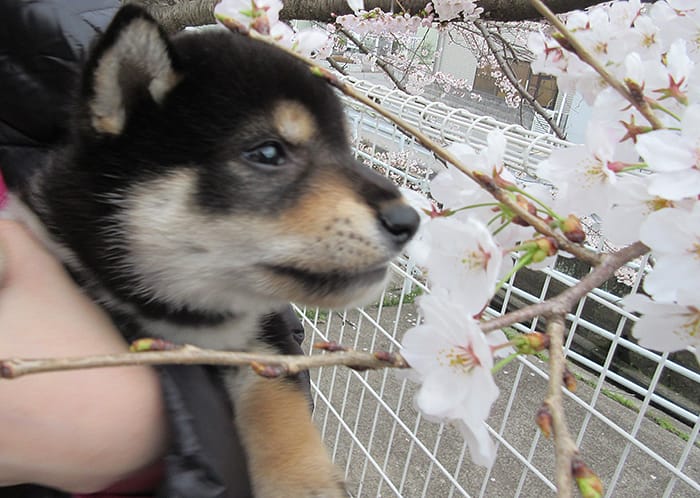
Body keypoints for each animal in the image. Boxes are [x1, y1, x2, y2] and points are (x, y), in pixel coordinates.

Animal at [5, 4, 418, 498]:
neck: (190, 319)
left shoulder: (263, 336)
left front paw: (306, 482)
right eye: (267, 152)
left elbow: (278, 405)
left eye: (345, 149)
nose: (409, 221)